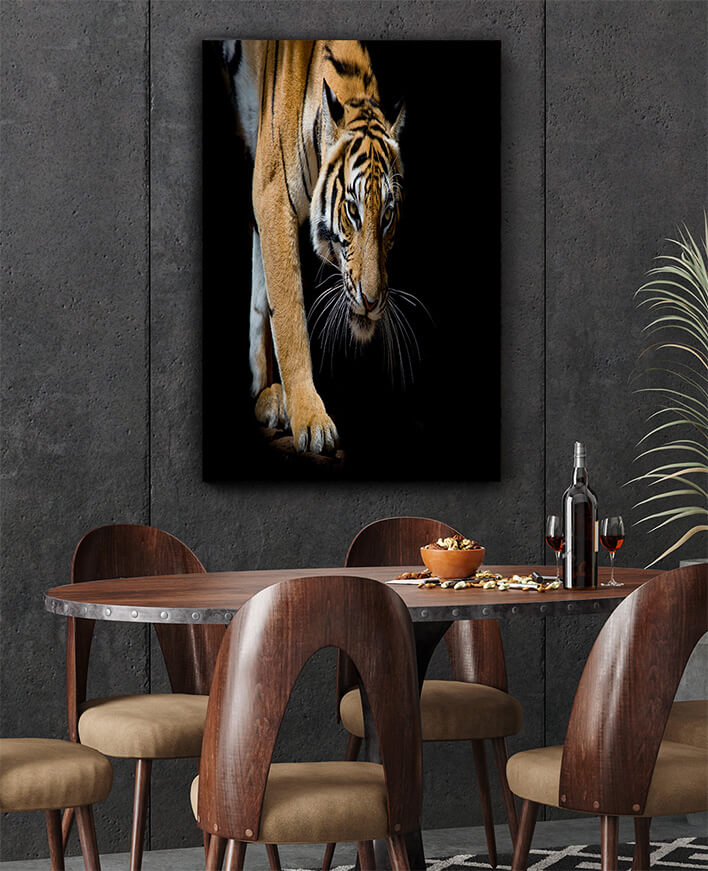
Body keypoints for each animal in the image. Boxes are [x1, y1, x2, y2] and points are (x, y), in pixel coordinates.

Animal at [222, 39, 405, 454]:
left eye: (387, 215)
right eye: (352, 210)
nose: (372, 302)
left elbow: (264, 297)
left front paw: (280, 400)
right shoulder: (271, 193)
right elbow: (289, 318)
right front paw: (310, 417)